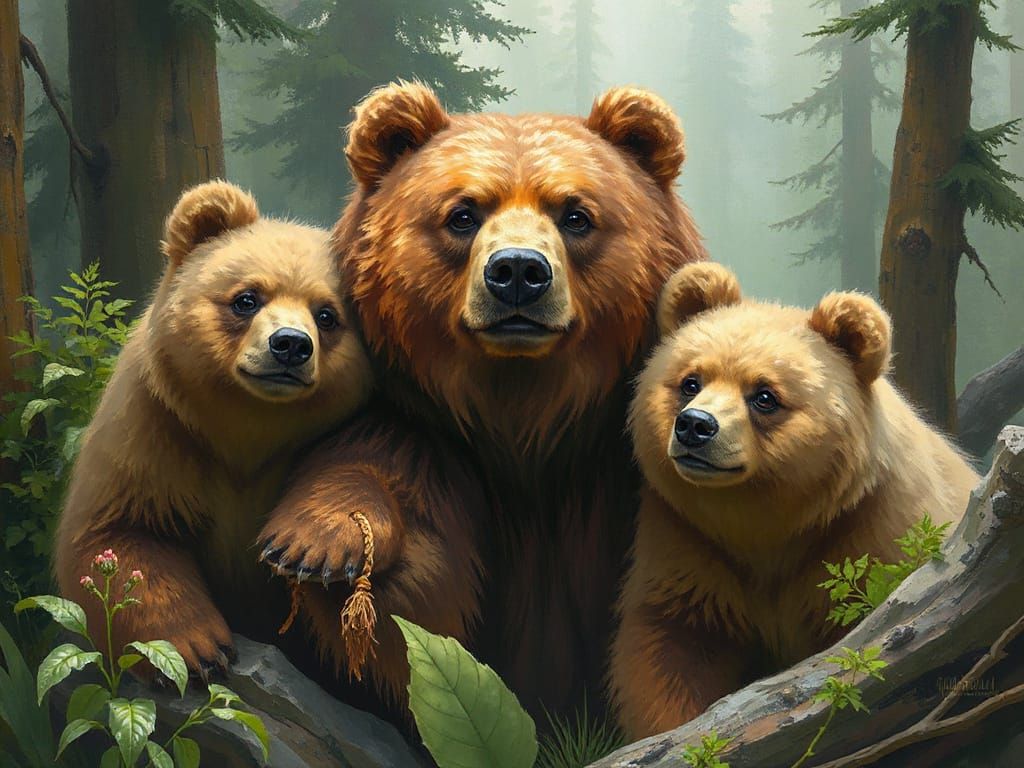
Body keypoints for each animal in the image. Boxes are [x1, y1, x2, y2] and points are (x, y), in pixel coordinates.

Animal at [54, 180, 375, 677]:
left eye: (327, 315)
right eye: (247, 298)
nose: (289, 345)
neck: (248, 427)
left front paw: (306, 547)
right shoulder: (153, 432)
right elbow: (117, 536)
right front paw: (199, 647)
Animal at [256, 81, 705, 721]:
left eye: (576, 215)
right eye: (462, 214)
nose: (517, 271)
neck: (522, 415)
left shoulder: (614, 465)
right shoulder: (429, 434)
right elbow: (416, 598)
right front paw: (316, 542)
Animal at [609, 262, 980, 739]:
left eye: (764, 395)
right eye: (690, 382)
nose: (695, 426)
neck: (768, 522)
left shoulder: (875, 529)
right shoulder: (689, 544)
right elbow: (669, 645)